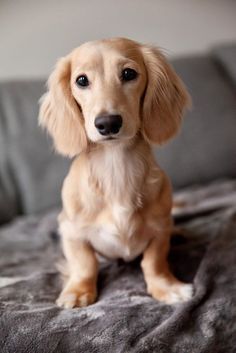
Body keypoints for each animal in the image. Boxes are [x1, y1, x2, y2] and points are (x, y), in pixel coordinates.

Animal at [39, 38, 193, 306]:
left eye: (129, 74)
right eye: (81, 80)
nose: (107, 123)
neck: (116, 168)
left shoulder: (160, 229)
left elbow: (154, 261)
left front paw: (167, 287)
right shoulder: (71, 231)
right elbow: (85, 264)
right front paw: (78, 291)